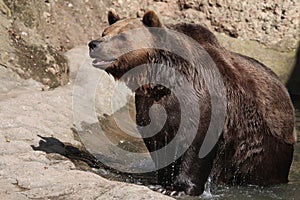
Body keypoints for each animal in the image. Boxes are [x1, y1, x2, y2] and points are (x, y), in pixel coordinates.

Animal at [88, 10, 296, 196]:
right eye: (105, 32)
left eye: (121, 37)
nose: (93, 44)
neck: (161, 80)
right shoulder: (152, 105)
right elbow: (159, 140)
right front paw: (163, 182)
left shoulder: (201, 99)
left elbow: (198, 142)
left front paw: (178, 188)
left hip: (263, 146)